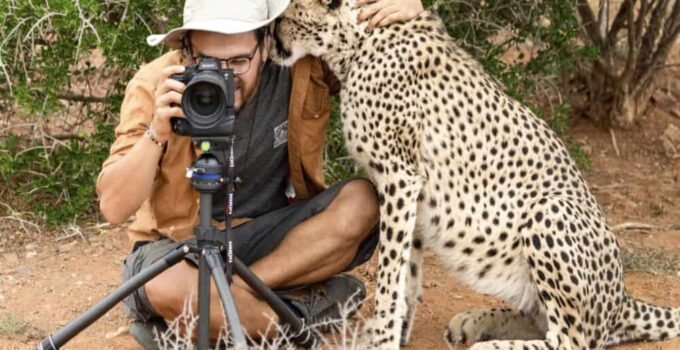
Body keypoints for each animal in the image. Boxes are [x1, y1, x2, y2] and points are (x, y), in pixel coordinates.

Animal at [268, 1, 680, 348]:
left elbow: (390, 270)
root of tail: (623, 299)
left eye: (283, 17)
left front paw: (382, 335)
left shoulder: (400, 177)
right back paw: (474, 322)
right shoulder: (412, 189)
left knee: (571, 341)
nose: (270, 43)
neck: (357, 39)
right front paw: (398, 333)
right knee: (544, 321)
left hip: (549, 210)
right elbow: (408, 273)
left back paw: (490, 343)